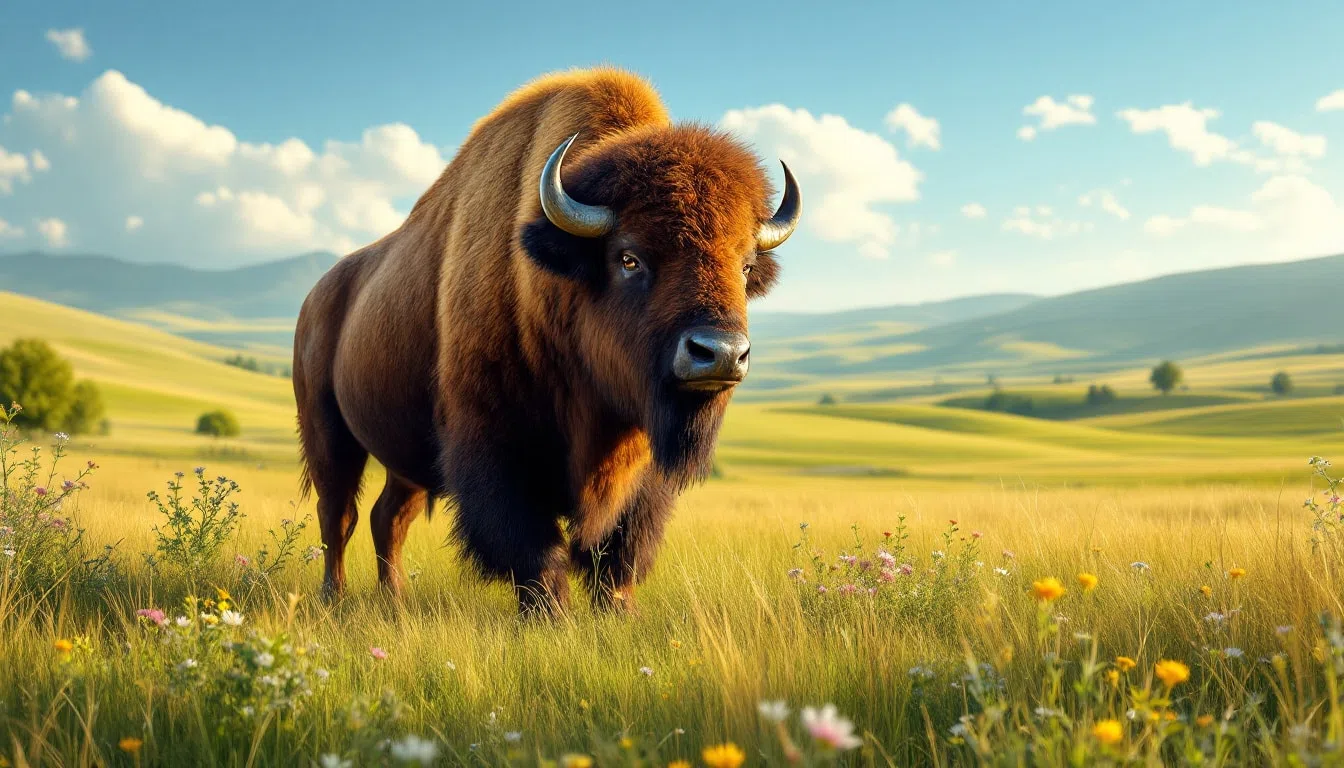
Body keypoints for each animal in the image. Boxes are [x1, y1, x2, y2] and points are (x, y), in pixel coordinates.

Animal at [293, 67, 800, 615]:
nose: (720, 353)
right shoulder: (494, 448)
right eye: (629, 258)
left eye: (745, 266)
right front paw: (552, 617)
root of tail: (316, 299)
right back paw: (333, 597)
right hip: (327, 434)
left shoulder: (643, 466)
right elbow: (535, 550)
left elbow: (620, 550)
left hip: (401, 458)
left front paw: (619, 611)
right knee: (338, 516)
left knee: (389, 516)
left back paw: (396, 598)